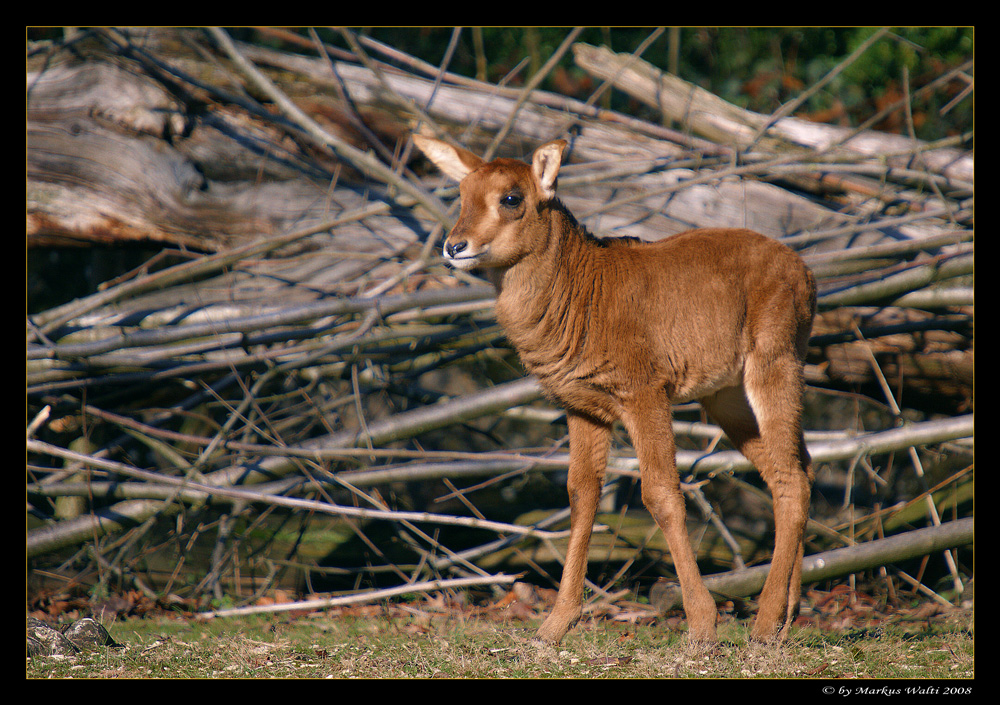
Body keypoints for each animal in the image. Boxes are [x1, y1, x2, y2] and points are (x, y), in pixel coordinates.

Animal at [410, 133, 816, 644]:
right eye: (461, 194)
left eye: (511, 198)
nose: (454, 246)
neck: (580, 288)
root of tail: (806, 274)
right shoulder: (583, 407)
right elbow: (581, 497)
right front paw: (554, 626)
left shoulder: (644, 393)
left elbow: (661, 494)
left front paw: (702, 625)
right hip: (726, 398)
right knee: (798, 469)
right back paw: (786, 616)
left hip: (774, 364)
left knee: (790, 479)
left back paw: (763, 624)